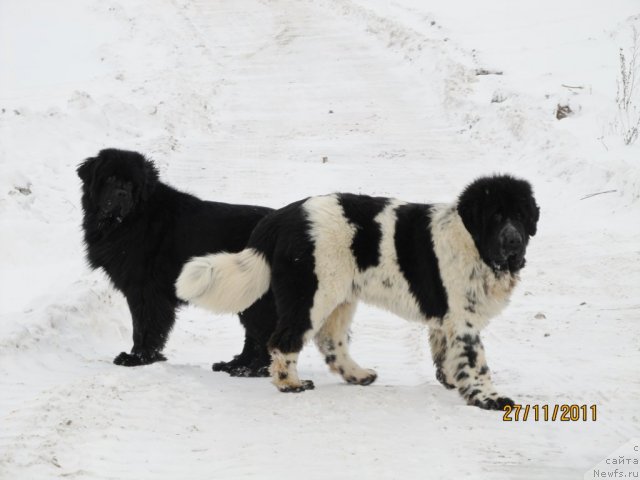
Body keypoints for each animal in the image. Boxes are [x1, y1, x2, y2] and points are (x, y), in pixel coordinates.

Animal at [76, 146, 276, 376]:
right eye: (110, 178)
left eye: (132, 183)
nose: (121, 194)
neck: (132, 219)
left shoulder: (145, 290)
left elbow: (144, 326)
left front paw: (138, 358)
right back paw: (235, 365)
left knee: (265, 333)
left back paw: (252, 369)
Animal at [176, 174, 540, 410]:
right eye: (496, 216)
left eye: (521, 216)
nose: (513, 240)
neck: (472, 241)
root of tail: (283, 215)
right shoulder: (463, 319)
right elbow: (476, 362)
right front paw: (489, 398)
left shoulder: (446, 320)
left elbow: (447, 354)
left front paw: (453, 381)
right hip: (312, 293)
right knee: (284, 339)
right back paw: (290, 384)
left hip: (340, 296)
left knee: (330, 341)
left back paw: (357, 375)